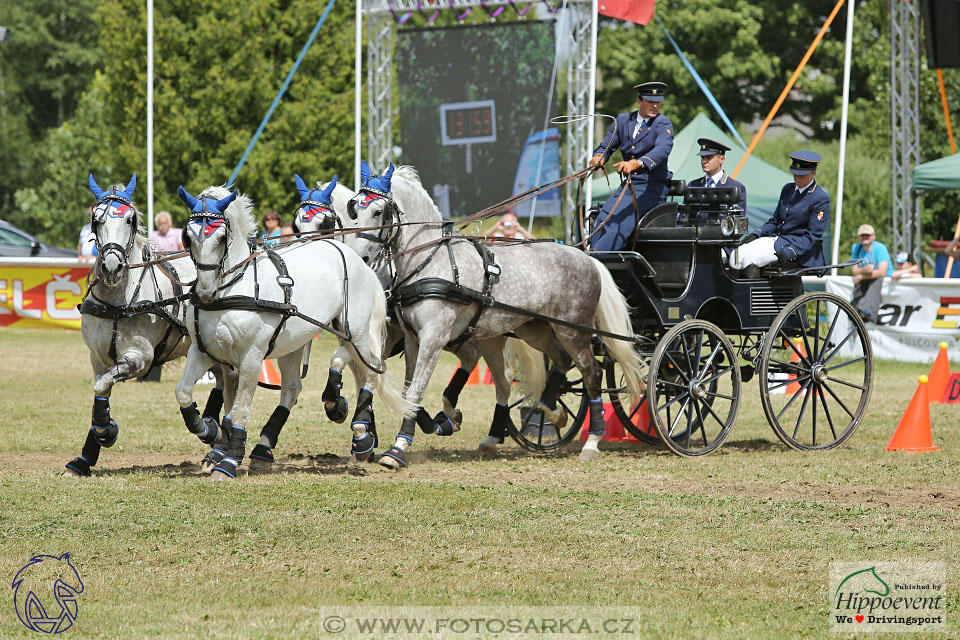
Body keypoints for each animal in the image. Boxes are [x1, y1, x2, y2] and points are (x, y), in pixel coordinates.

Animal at [64, 172, 228, 478]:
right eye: (96, 219)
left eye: (130, 219)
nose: (111, 268)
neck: (119, 301)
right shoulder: (98, 358)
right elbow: (100, 389)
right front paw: (88, 452)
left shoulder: (140, 358)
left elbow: (103, 384)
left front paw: (106, 432)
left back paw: (215, 440)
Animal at [176, 182, 408, 478]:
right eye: (188, 237)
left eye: (220, 237)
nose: (204, 292)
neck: (231, 289)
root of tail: (357, 259)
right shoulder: (205, 352)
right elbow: (186, 393)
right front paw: (208, 431)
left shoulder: (251, 358)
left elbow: (239, 410)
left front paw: (229, 460)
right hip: (293, 343)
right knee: (292, 389)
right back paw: (264, 447)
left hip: (354, 332)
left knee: (366, 366)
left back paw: (356, 426)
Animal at [292, 172, 544, 458]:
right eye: (297, 224)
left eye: (324, 222)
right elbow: (362, 377)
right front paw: (362, 429)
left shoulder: (382, 339)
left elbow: (365, 371)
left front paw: (358, 424)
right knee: (475, 361)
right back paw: (452, 417)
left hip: (476, 335)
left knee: (502, 379)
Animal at [340, 162, 644, 468]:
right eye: (354, 209)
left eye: (378, 211)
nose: (361, 259)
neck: (431, 261)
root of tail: (586, 256)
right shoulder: (413, 338)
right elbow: (406, 392)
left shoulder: (433, 339)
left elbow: (414, 391)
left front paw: (398, 449)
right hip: (535, 329)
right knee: (558, 361)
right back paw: (550, 412)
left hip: (574, 330)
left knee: (591, 373)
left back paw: (592, 441)